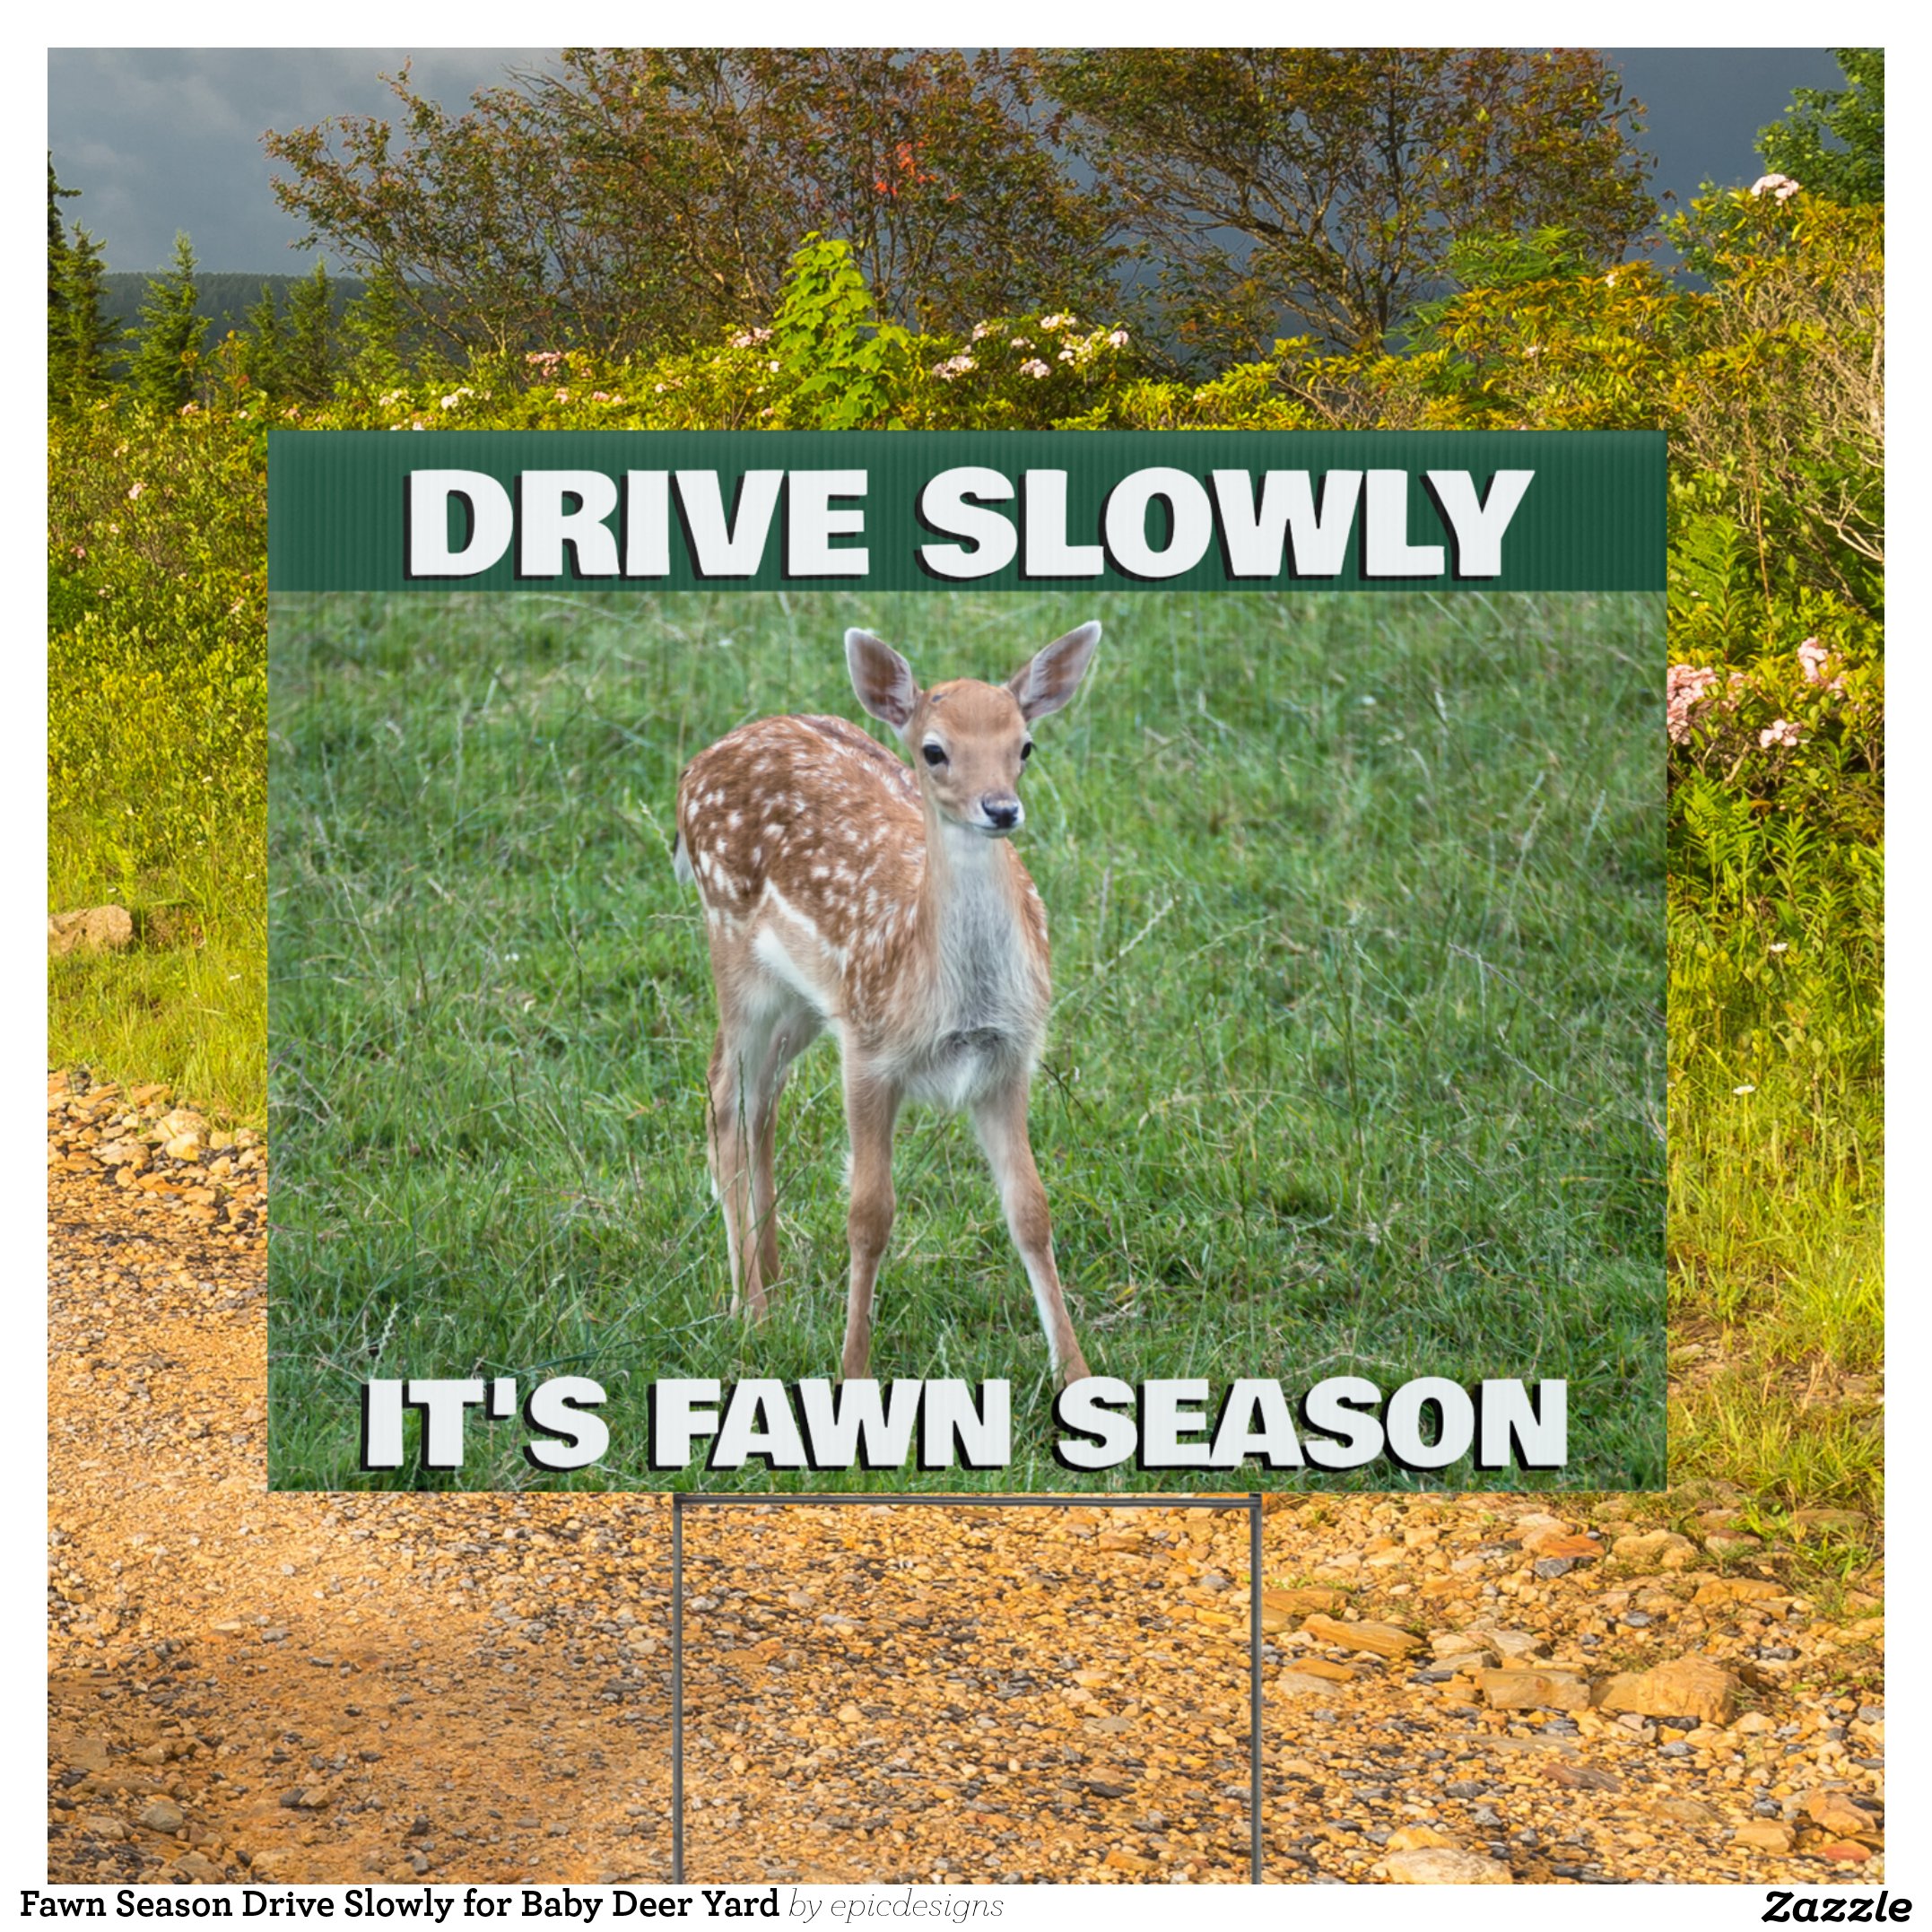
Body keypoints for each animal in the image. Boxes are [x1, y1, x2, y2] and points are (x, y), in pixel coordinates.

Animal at [672, 621, 1101, 1386]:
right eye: (935, 750)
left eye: (1025, 745)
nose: (1001, 808)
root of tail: (698, 764)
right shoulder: (871, 1053)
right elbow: (869, 1216)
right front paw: (853, 1371)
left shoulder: (1009, 1058)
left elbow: (1031, 1210)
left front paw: (1077, 1376)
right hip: (732, 946)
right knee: (725, 1091)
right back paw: (750, 1308)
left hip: (806, 1000)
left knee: (762, 1096)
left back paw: (774, 1278)